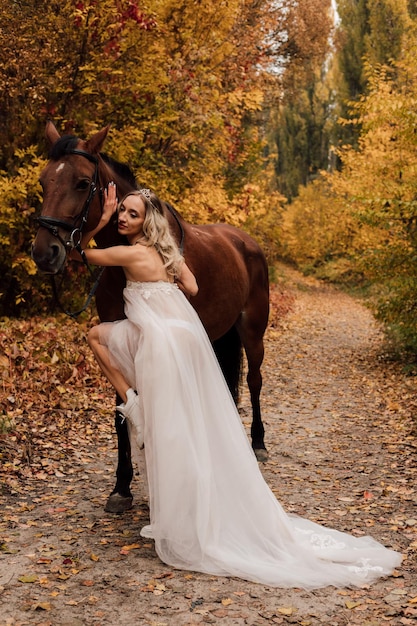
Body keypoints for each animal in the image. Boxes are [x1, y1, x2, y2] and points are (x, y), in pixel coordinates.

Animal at [32, 120, 270, 512]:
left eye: (81, 182)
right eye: (43, 181)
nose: (44, 253)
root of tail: (245, 241)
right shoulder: (117, 332)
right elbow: (120, 409)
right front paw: (122, 486)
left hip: (252, 332)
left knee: (254, 381)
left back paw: (258, 444)